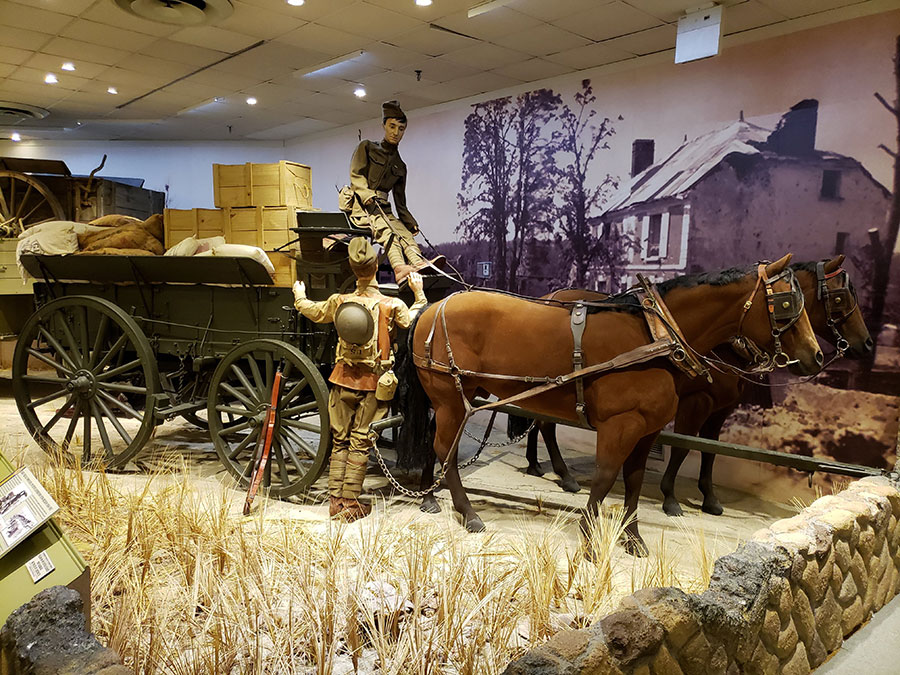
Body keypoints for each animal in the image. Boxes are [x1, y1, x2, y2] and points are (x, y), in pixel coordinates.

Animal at [400, 254, 824, 556]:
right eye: (787, 303)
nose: (816, 356)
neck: (654, 336)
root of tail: (432, 308)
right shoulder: (621, 424)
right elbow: (605, 478)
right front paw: (589, 540)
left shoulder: (647, 430)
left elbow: (632, 483)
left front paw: (632, 537)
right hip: (451, 398)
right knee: (444, 448)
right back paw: (467, 512)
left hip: (455, 400)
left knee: (438, 444)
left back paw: (430, 497)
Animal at [512, 256, 872, 516]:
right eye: (841, 296)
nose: (867, 345)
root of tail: (552, 297)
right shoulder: (697, 401)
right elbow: (684, 447)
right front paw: (670, 498)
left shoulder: (721, 408)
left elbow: (709, 450)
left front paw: (709, 498)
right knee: (545, 425)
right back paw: (563, 475)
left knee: (538, 421)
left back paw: (537, 465)